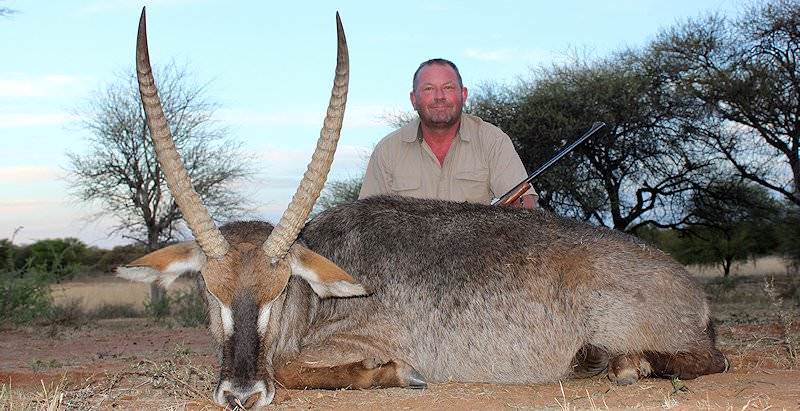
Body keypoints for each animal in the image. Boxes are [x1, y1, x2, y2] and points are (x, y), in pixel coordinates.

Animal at [117, 8, 724, 408]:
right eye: (208, 290)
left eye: (281, 289)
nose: (241, 393)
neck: (315, 300)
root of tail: (692, 292)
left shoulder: (360, 339)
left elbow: (289, 368)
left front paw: (399, 374)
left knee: (706, 361)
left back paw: (622, 364)